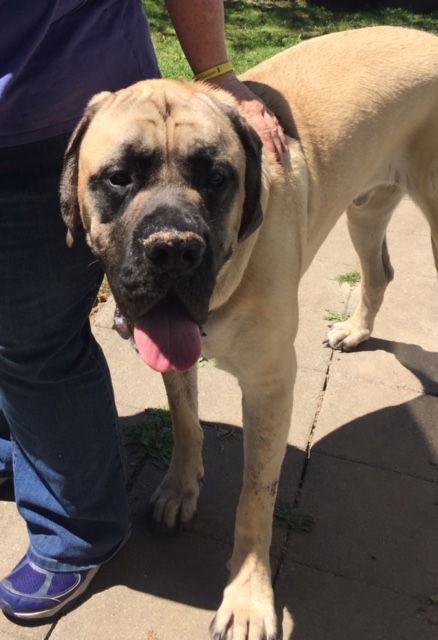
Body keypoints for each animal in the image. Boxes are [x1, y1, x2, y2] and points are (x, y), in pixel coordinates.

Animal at [59, 26, 438, 640]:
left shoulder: (270, 384)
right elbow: (185, 422)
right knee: (380, 271)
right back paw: (355, 332)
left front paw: (248, 599)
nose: (173, 249)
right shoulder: (177, 360)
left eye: (216, 179)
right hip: (365, 209)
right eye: (119, 178)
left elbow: (256, 497)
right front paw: (180, 490)